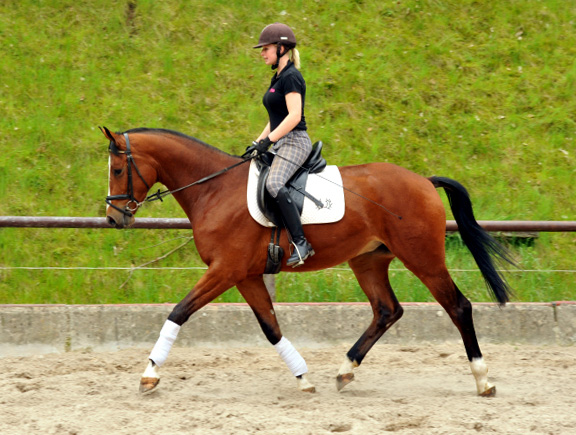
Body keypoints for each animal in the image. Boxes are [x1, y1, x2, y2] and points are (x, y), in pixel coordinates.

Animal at [101, 127, 510, 398]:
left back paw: (483, 380)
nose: (113, 218)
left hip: (422, 258)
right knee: (386, 311)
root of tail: (424, 181)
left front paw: (149, 374)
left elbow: (178, 312)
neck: (213, 189)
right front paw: (303, 378)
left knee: (458, 306)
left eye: (118, 170)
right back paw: (345, 371)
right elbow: (271, 328)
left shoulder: (225, 270)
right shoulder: (246, 275)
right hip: (368, 261)